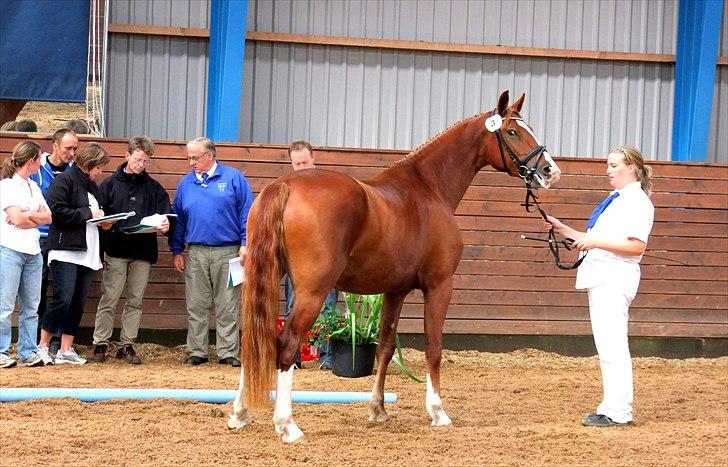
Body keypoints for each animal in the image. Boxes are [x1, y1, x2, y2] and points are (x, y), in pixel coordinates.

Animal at [230, 90, 560, 442]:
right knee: (286, 344)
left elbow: (386, 348)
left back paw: (239, 413)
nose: (550, 171)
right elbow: (433, 347)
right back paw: (287, 425)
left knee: (256, 340)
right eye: (512, 132)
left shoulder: (394, 292)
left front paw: (378, 409)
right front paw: (438, 412)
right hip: (312, 292)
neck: (428, 189)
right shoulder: (439, 285)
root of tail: (286, 185)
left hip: (266, 279)